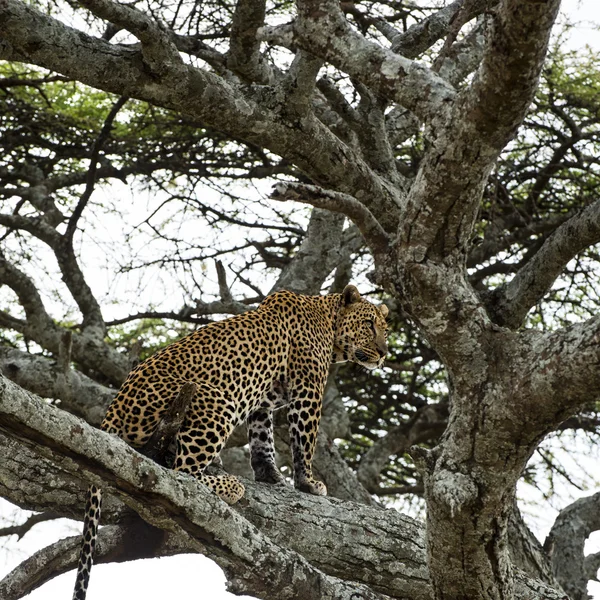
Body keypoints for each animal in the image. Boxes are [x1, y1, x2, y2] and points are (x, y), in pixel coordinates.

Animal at [72, 286, 390, 600]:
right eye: (368, 324)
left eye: (385, 329)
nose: (384, 353)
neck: (329, 321)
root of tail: (112, 411)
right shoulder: (308, 391)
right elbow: (305, 440)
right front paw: (308, 483)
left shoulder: (263, 400)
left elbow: (262, 439)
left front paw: (270, 475)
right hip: (216, 401)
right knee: (180, 476)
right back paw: (229, 484)